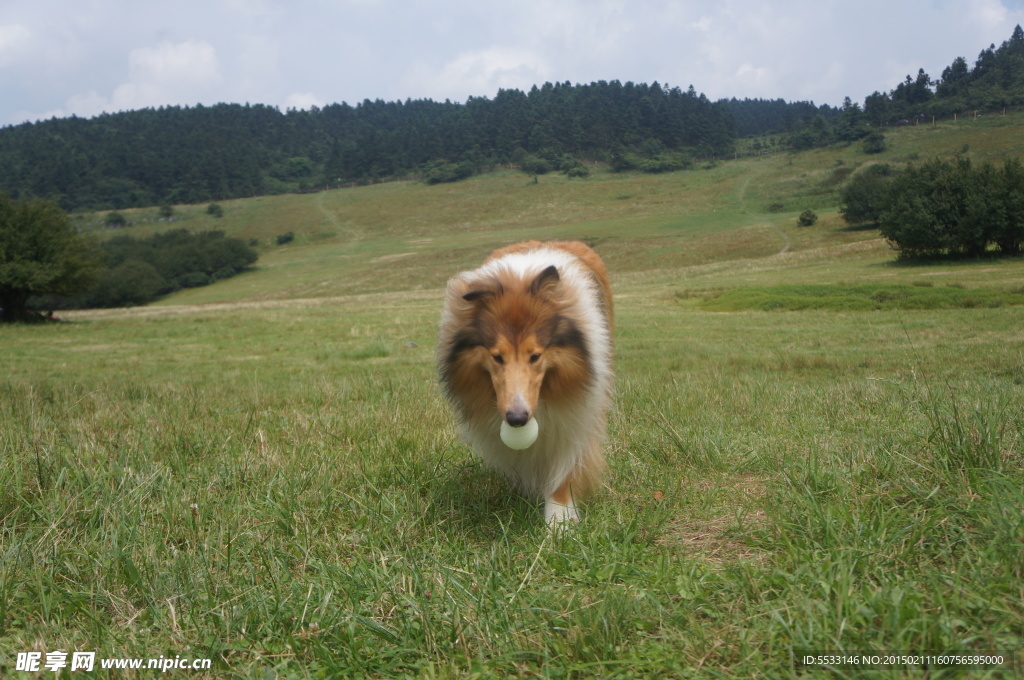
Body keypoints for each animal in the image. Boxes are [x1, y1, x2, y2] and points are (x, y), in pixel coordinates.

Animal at [436, 240, 610, 524]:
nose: (517, 419)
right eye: (497, 356)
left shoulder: (575, 418)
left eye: (535, 356)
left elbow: (564, 469)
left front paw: (560, 521)